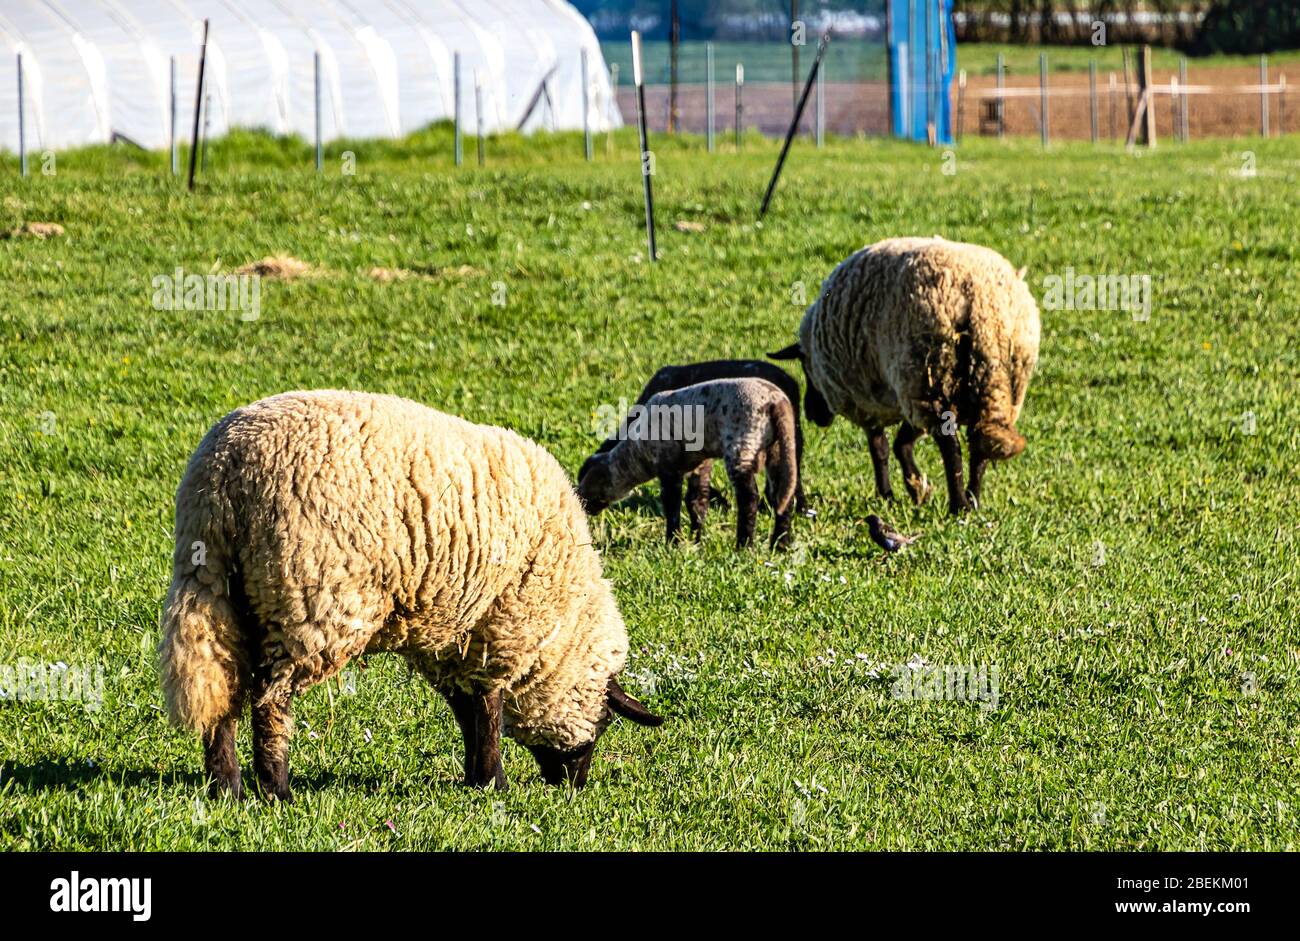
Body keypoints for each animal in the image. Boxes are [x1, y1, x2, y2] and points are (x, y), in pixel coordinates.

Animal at [158, 390, 662, 799]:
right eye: (605, 721)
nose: (575, 786)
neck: (564, 621)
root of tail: (224, 473)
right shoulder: (502, 626)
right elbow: (489, 707)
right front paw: (494, 782)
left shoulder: (452, 633)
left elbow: (467, 708)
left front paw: (476, 778)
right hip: (309, 600)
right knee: (270, 699)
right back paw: (275, 789)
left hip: (215, 586)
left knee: (219, 684)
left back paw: (226, 786)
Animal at [577, 378, 798, 549]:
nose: (581, 503)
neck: (636, 454)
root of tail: (776, 402)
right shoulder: (699, 462)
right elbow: (697, 501)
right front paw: (695, 540)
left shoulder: (667, 465)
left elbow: (671, 503)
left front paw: (673, 541)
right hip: (778, 447)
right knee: (783, 494)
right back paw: (780, 545)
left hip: (741, 441)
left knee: (749, 497)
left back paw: (744, 545)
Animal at [769, 236, 1040, 515]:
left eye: (804, 365)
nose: (813, 415)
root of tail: (980, 303)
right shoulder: (904, 394)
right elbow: (901, 443)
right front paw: (917, 488)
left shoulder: (870, 398)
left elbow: (881, 448)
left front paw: (889, 493)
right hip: (988, 386)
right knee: (980, 445)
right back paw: (972, 499)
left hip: (929, 375)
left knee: (950, 445)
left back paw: (958, 505)